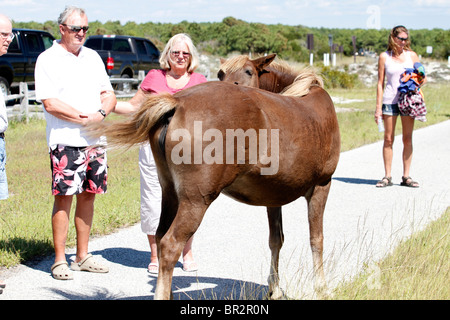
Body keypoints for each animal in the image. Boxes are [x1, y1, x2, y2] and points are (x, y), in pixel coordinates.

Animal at [89, 55, 342, 300]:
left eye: (249, 71)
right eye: (221, 73)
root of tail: (177, 103)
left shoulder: (273, 198)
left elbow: (276, 240)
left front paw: (275, 289)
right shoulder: (322, 185)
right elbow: (316, 238)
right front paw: (321, 287)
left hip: (170, 194)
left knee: (160, 237)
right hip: (195, 201)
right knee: (170, 245)